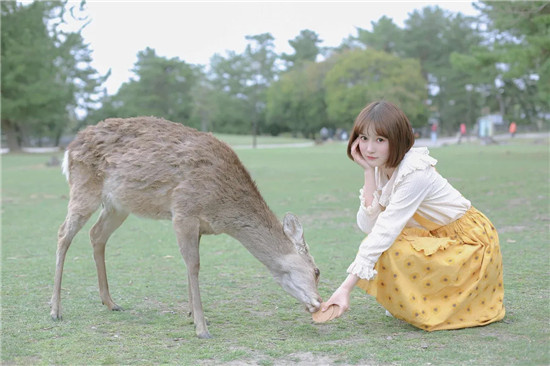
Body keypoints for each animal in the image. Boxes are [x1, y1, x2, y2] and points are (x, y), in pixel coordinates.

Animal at [51, 116, 324, 338]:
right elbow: (193, 265)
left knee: (96, 234)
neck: (222, 209)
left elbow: (188, 266)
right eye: (317, 270)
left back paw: (110, 302)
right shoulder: (183, 211)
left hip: (118, 206)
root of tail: (69, 149)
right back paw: (55, 310)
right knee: (63, 232)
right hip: (84, 188)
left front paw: (192, 315)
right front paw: (202, 328)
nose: (320, 302)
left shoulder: (199, 225)